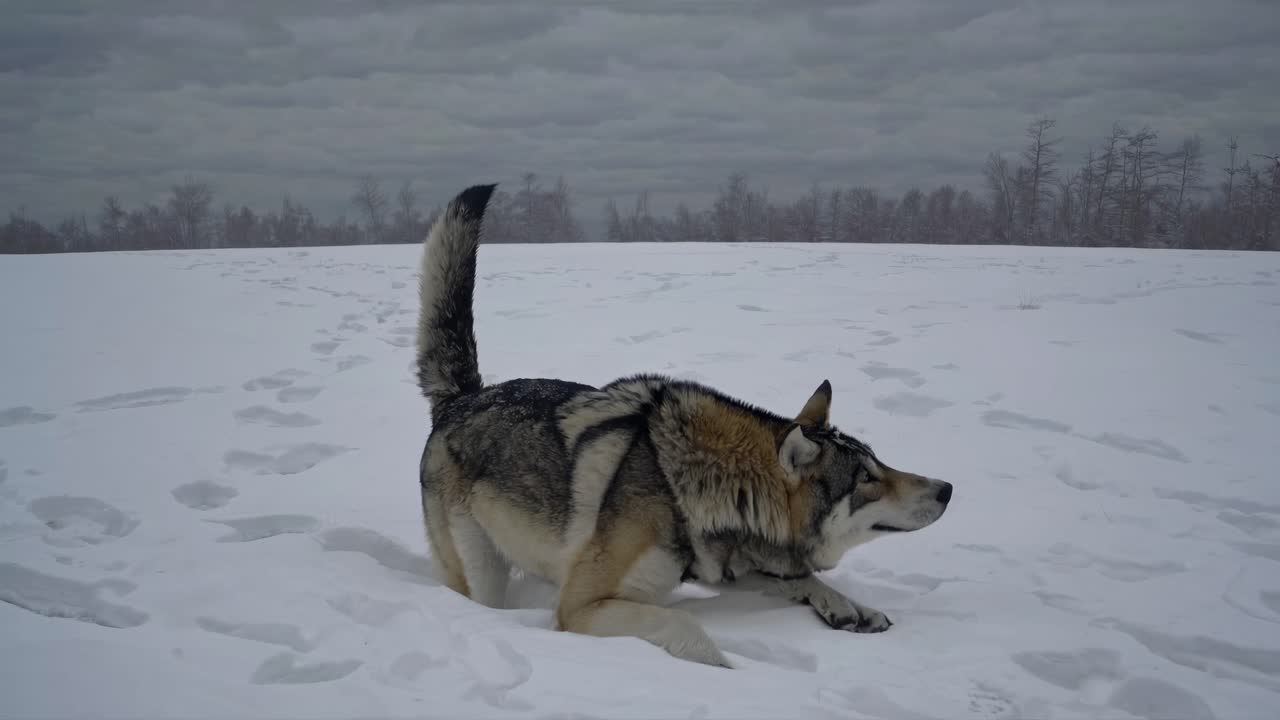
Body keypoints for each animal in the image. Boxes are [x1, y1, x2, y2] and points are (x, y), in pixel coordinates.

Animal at [415, 183, 953, 667]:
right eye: (866, 479)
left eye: (879, 461)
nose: (947, 488)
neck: (691, 489)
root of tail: (462, 397)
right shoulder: (582, 606)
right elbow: (685, 625)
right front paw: (730, 672)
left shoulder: (736, 564)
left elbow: (802, 578)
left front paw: (851, 608)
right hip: (480, 572)